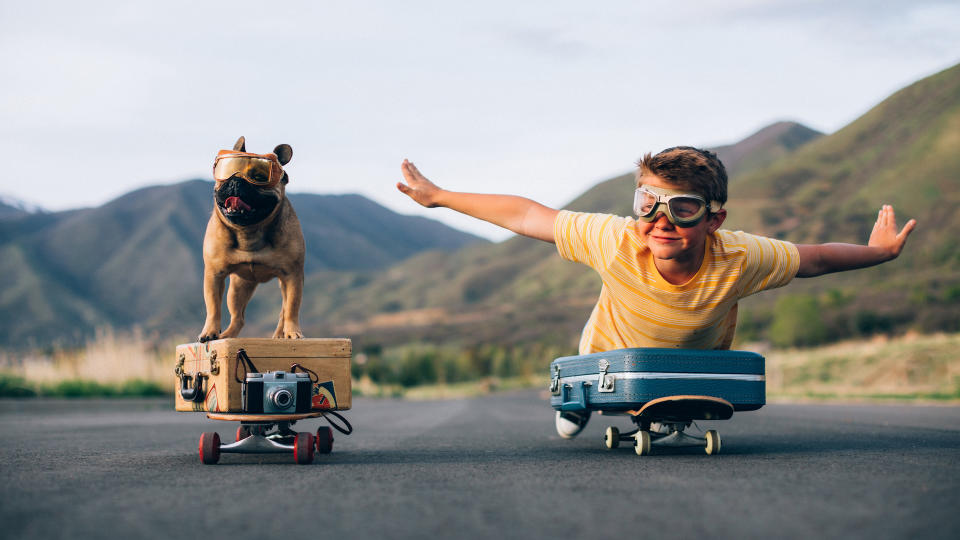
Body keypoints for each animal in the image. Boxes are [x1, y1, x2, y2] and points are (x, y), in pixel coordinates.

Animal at [201, 138, 306, 342]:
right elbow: (213, 307)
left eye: (259, 177)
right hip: (238, 288)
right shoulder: (214, 274)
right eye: (226, 171)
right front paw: (209, 332)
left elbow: (292, 308)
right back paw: (227, 335)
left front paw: (292, 332)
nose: (236, 180)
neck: (248, 231)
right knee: (238, 317)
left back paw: (281, 335)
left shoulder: (293, 276)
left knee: (283, 311)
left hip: (281, 284)